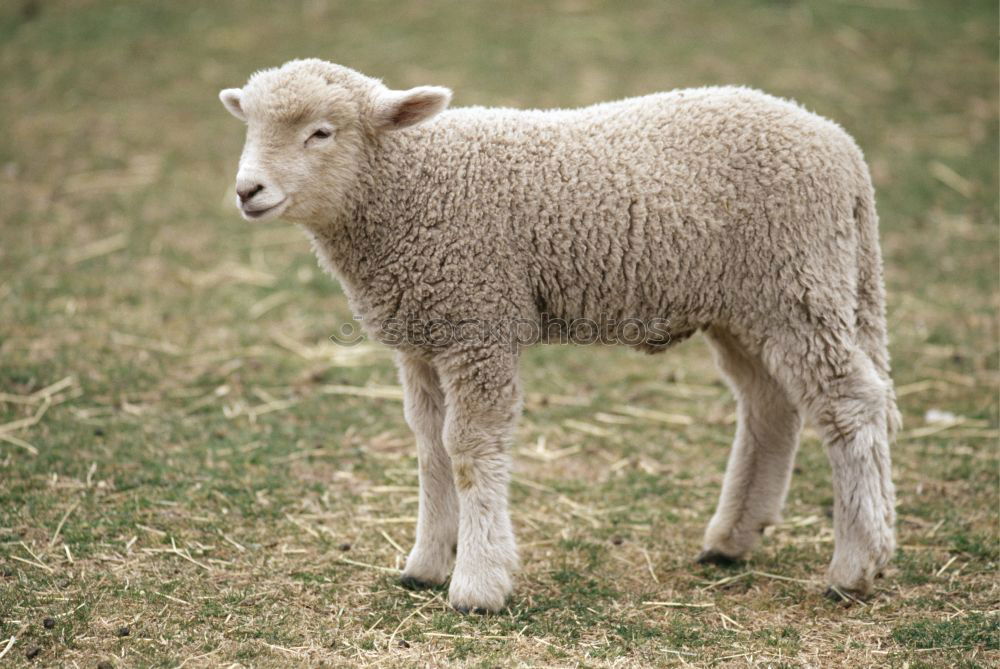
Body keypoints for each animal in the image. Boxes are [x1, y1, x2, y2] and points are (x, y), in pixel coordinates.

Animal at [219, 60, 900, 612]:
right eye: (248, 126)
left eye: (321, 132)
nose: (247, 190)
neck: (411, 184)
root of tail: (842, 148)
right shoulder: (422, 336)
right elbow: (430, 448)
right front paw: (425, 566)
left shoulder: (478, 323)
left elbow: (470, 449)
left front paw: (478, 585)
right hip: (743, 306)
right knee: (770, 408)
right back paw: (731, 541)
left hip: (797, 286)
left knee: (849, 405)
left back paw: (854, 566)